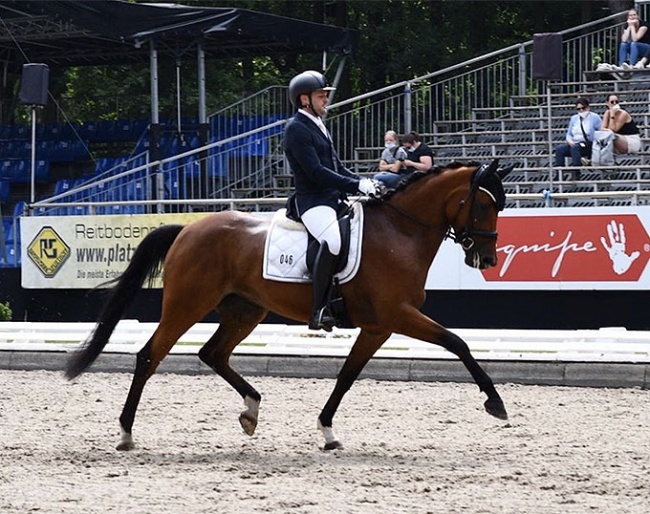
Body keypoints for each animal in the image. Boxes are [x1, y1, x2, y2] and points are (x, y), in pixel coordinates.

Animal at [66, 159, 512, 448]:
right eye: (484, 204)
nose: (487, 259)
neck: (399, 231)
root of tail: (187, 230)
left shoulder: (378, 326)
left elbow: (347, 376)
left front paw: (327, 431)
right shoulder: (398, 315)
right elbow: (457, 342)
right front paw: (495, 402)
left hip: (246, 310)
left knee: (213, 353)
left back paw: (251, 409)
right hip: (187, 305)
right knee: (149, 356)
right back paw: (125, 432)